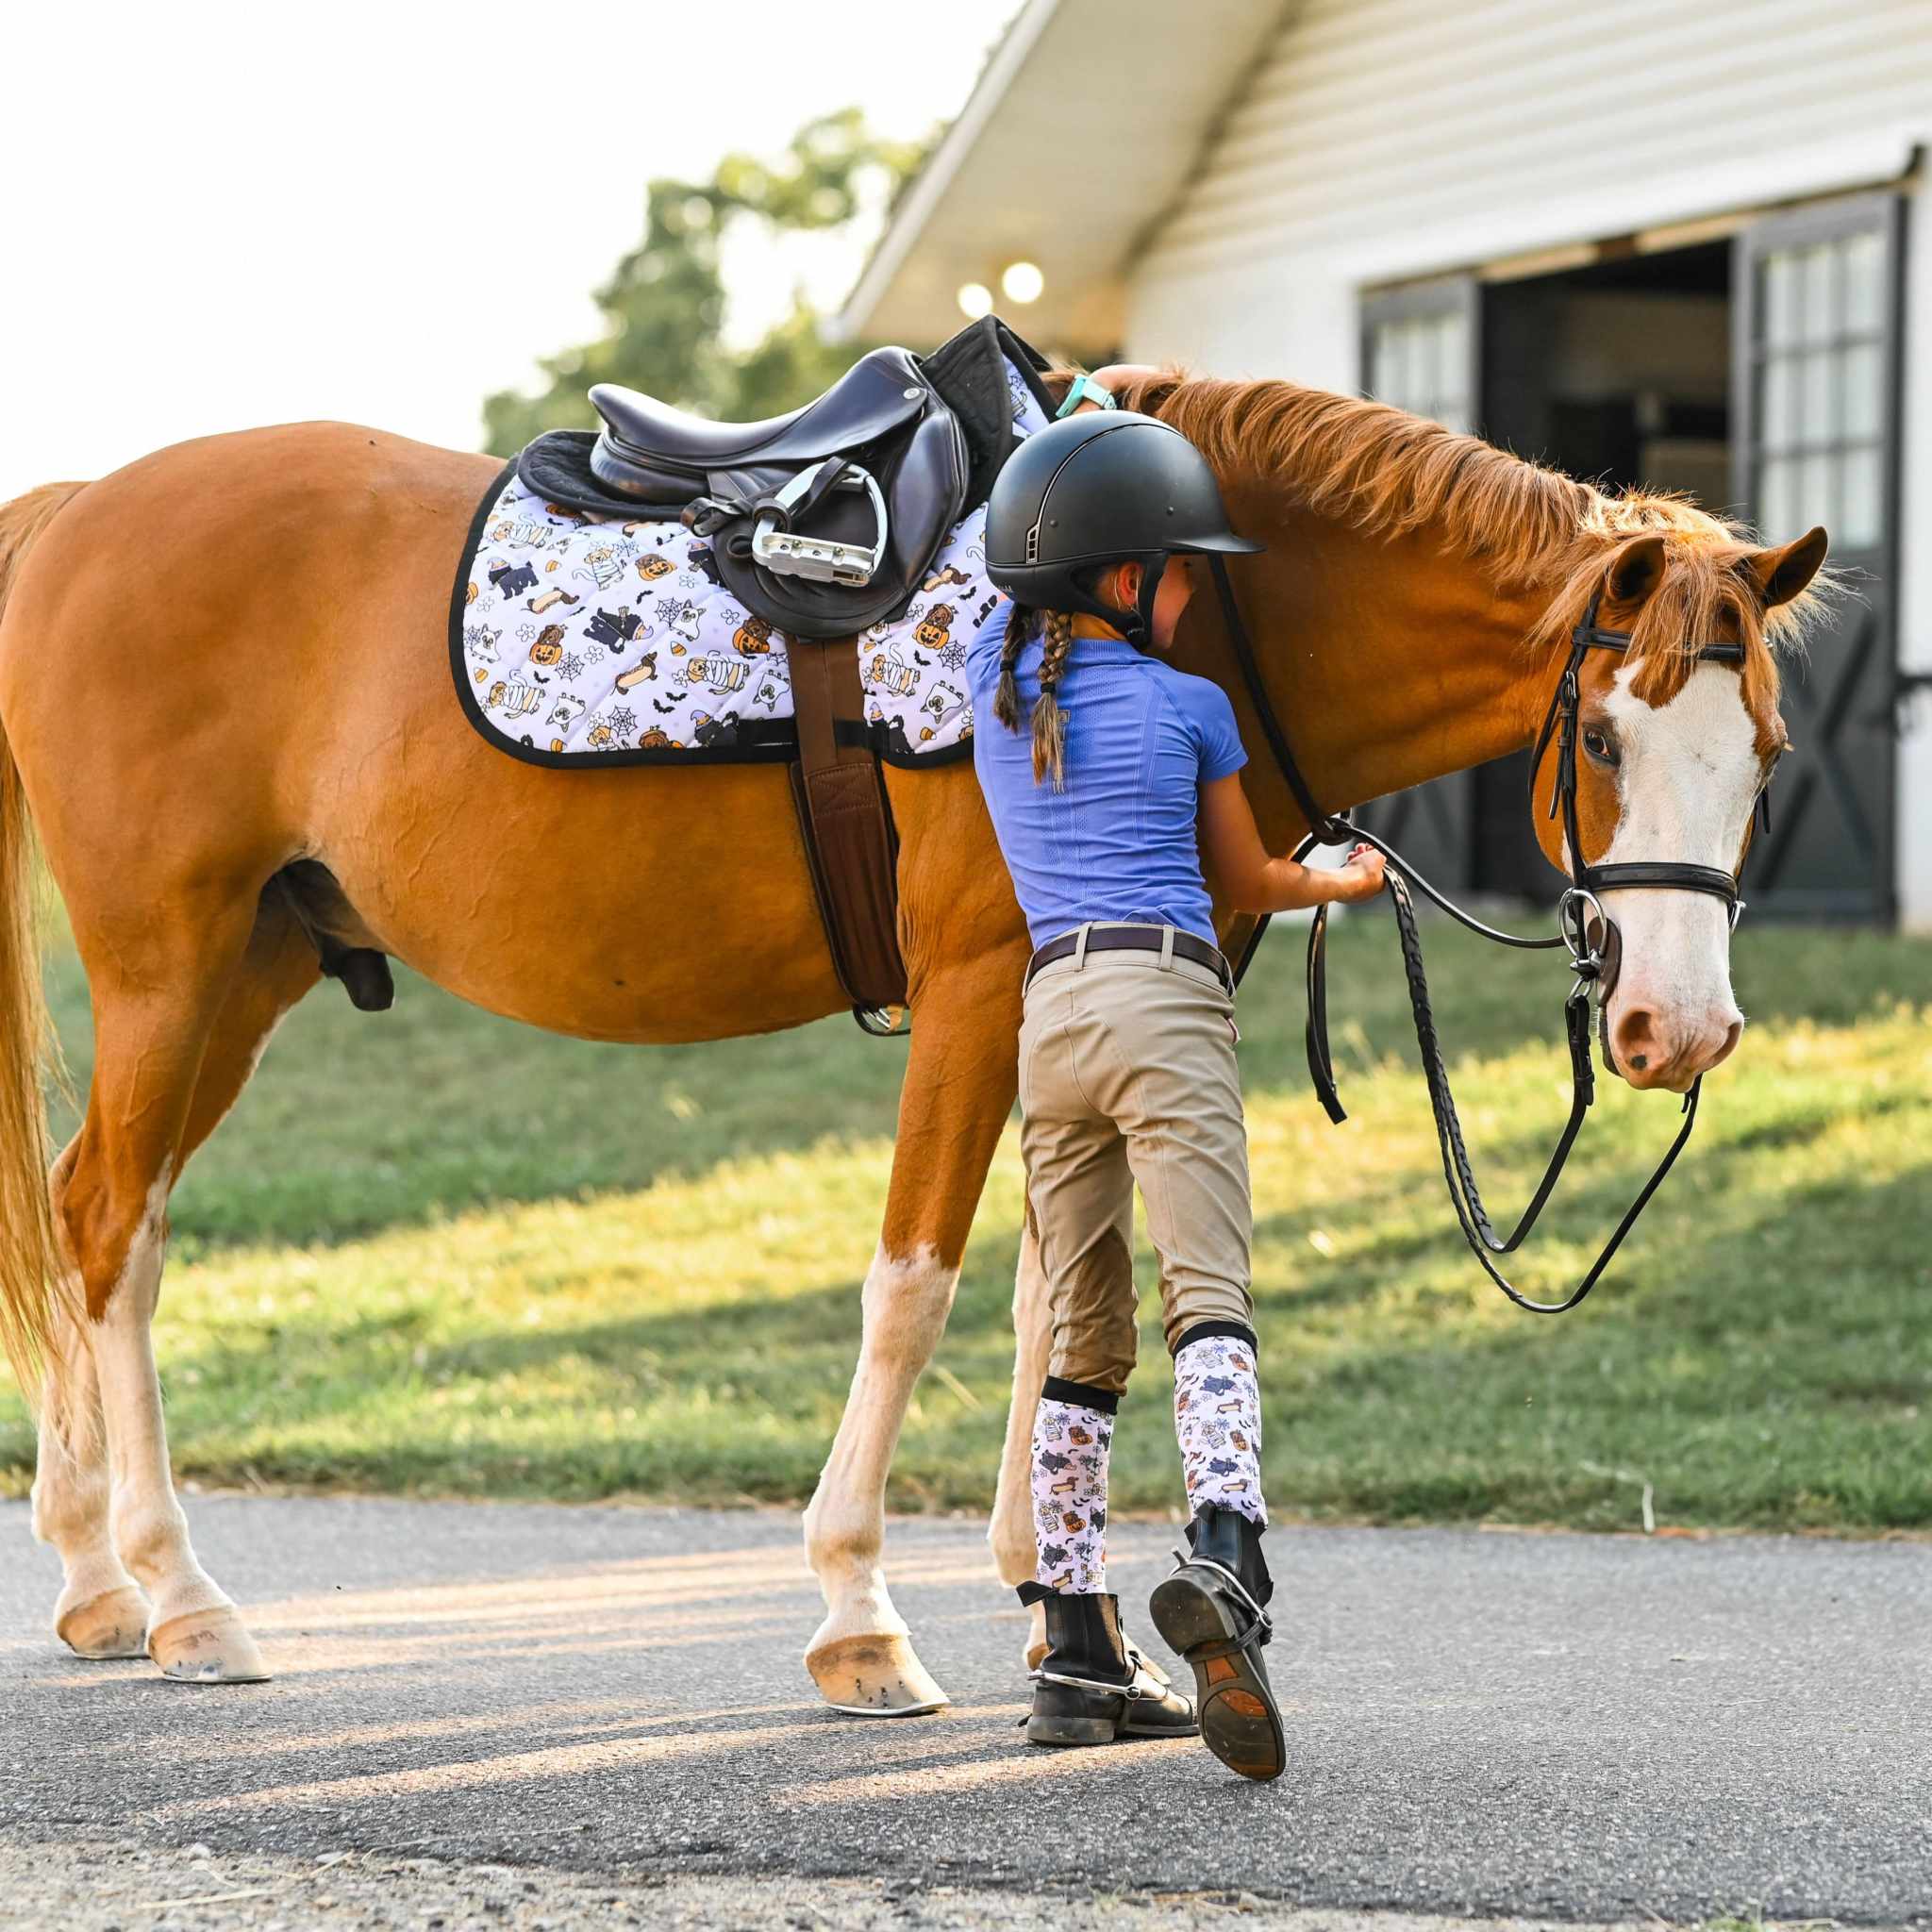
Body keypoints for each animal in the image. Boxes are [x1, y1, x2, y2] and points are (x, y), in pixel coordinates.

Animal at [0, 366, 1828, 1707]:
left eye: (1763, 749)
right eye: (1601, 735)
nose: (1678, 1027)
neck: (1167, 611)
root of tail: (81, 509)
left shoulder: (1091, 998)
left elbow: (1053, 1294)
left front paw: (1057, 1607)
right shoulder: (972, 988)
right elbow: (916, 1287)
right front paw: (861, 1615)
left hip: (252, 967)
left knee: (96, 1212)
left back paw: (95, 1579)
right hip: (171, 966)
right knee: (116, 1235)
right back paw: (179, 1591)